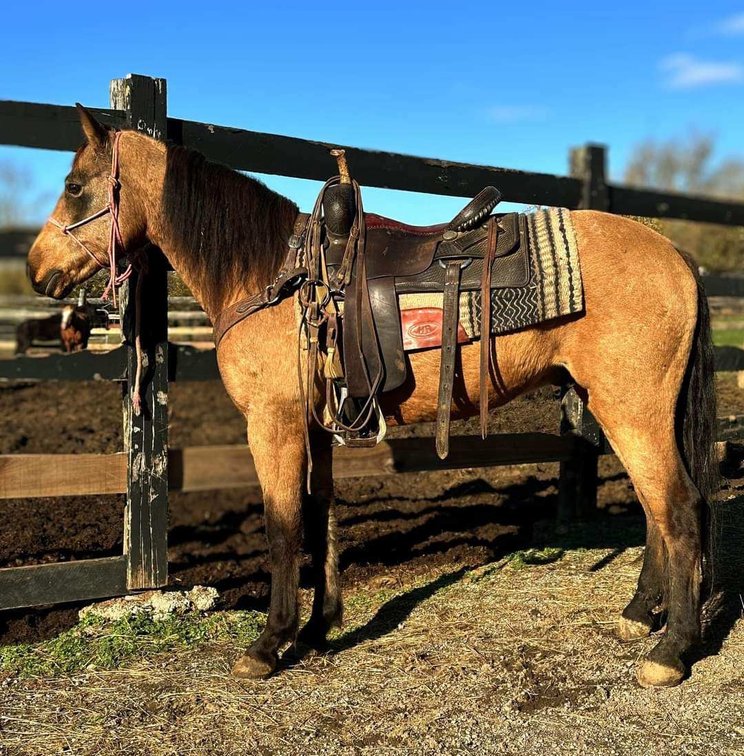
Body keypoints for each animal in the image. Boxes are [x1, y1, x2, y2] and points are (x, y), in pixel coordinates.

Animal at [26, 106, 718, 688]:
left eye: (75, 186)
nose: (36, 269)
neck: (274, 276)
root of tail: (677, 254)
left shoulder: (272, 423)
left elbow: (282, 526)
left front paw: (269, 644)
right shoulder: (318, 425)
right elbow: (321, 516)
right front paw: (318, 627)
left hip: (634, 411)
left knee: (679, 509)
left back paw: (670, 650)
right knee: (655, 510)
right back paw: (639, 615)